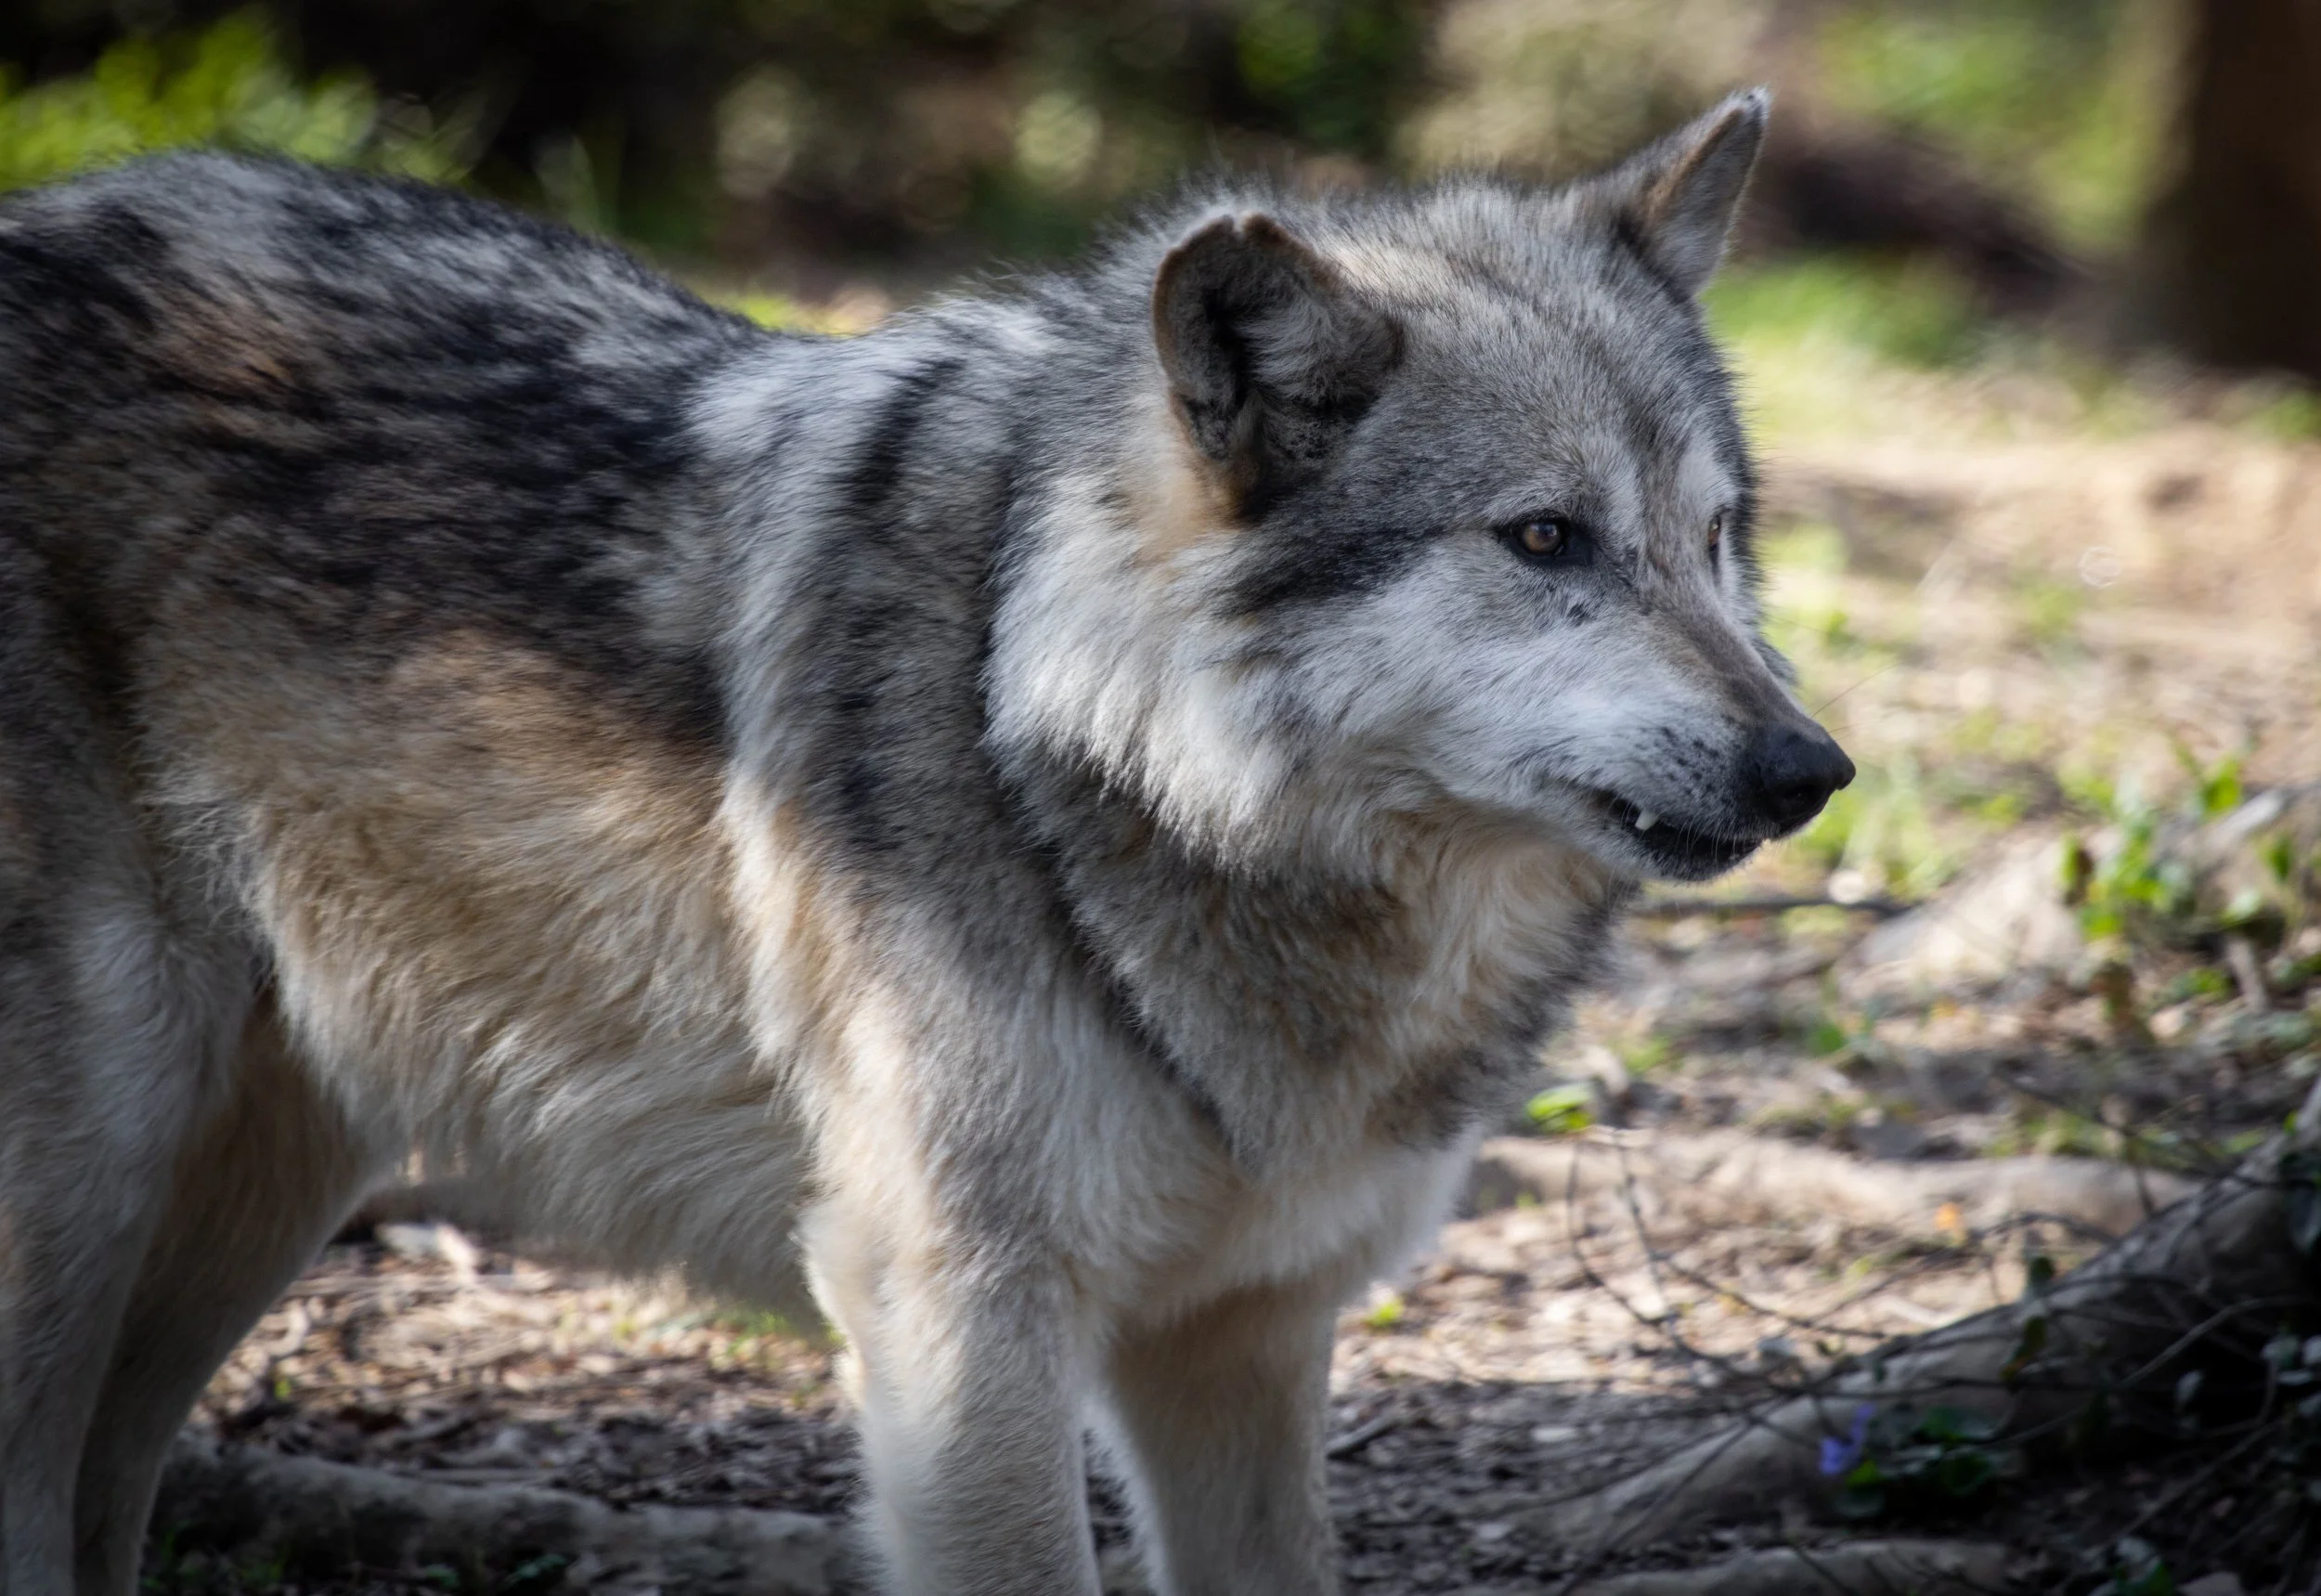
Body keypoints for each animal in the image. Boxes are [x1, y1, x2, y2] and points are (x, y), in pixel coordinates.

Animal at [0, 89, 1849, 1596]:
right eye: (1545, 539)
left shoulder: (1242, 1335)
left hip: (264, 1182)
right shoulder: (960, 1320)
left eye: (1713, 537)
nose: (1811, 767)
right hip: (89, 1189)